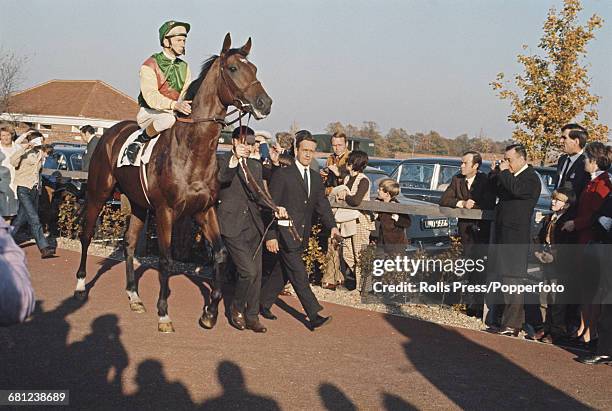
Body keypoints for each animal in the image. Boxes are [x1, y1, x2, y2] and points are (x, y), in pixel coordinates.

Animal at [74, 33, 272, 334]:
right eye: (233, 68)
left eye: (256, 69)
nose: (264, 103)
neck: (192, 152)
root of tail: (109, 133)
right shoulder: (165, 212)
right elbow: (166, 260)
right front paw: (164, 313)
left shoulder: (204, 210)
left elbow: (221, 254)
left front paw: (209, 313)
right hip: (98, 193)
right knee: (86, 235)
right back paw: (80, 285)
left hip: (138, 204)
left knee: (129, 243)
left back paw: (134, 296)